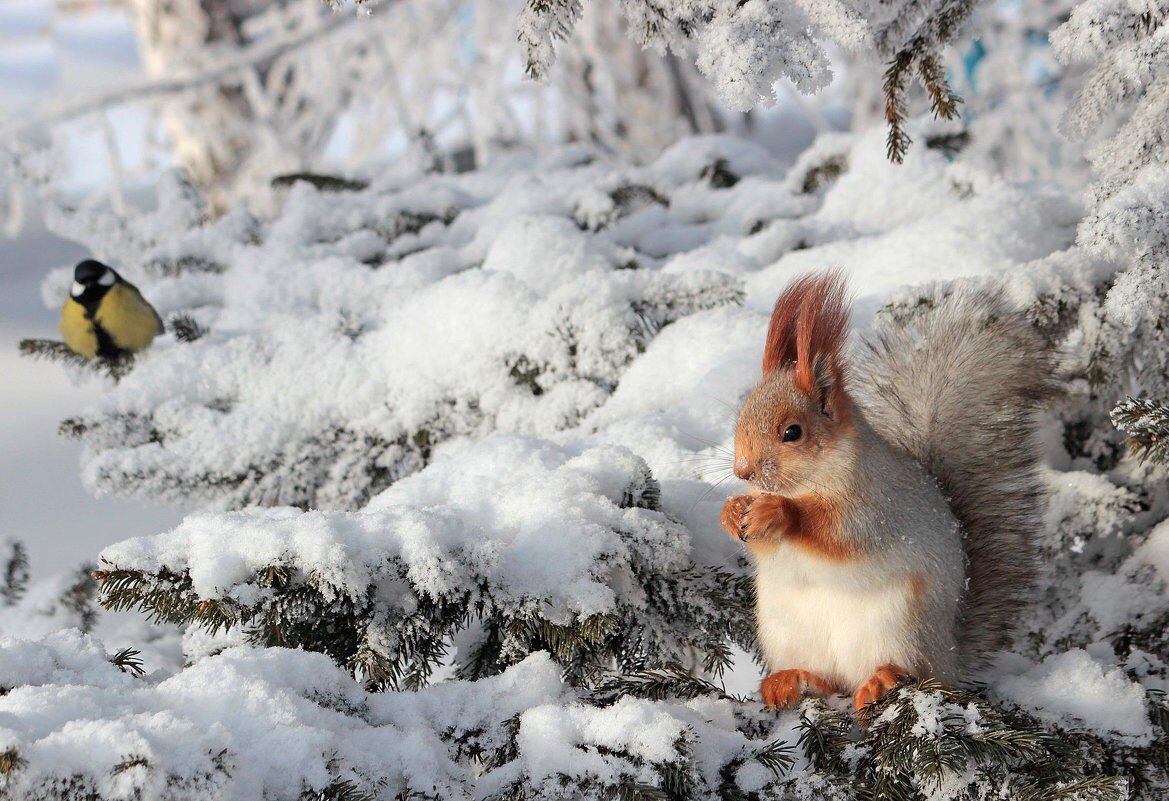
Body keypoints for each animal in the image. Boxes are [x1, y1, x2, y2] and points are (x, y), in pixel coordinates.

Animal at [720, 270, 1061, 710]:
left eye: (792, 432)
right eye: (741, 416)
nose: (743, 470)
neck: (807, 483)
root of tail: (949, 657)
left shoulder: (877, 505)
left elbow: (841, 535)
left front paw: (778, 513)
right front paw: (733, 511)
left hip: (901, 626)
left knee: (900, 671)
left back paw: (880, 680)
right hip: (787, 628)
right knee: (825, 681)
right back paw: (789, 679)